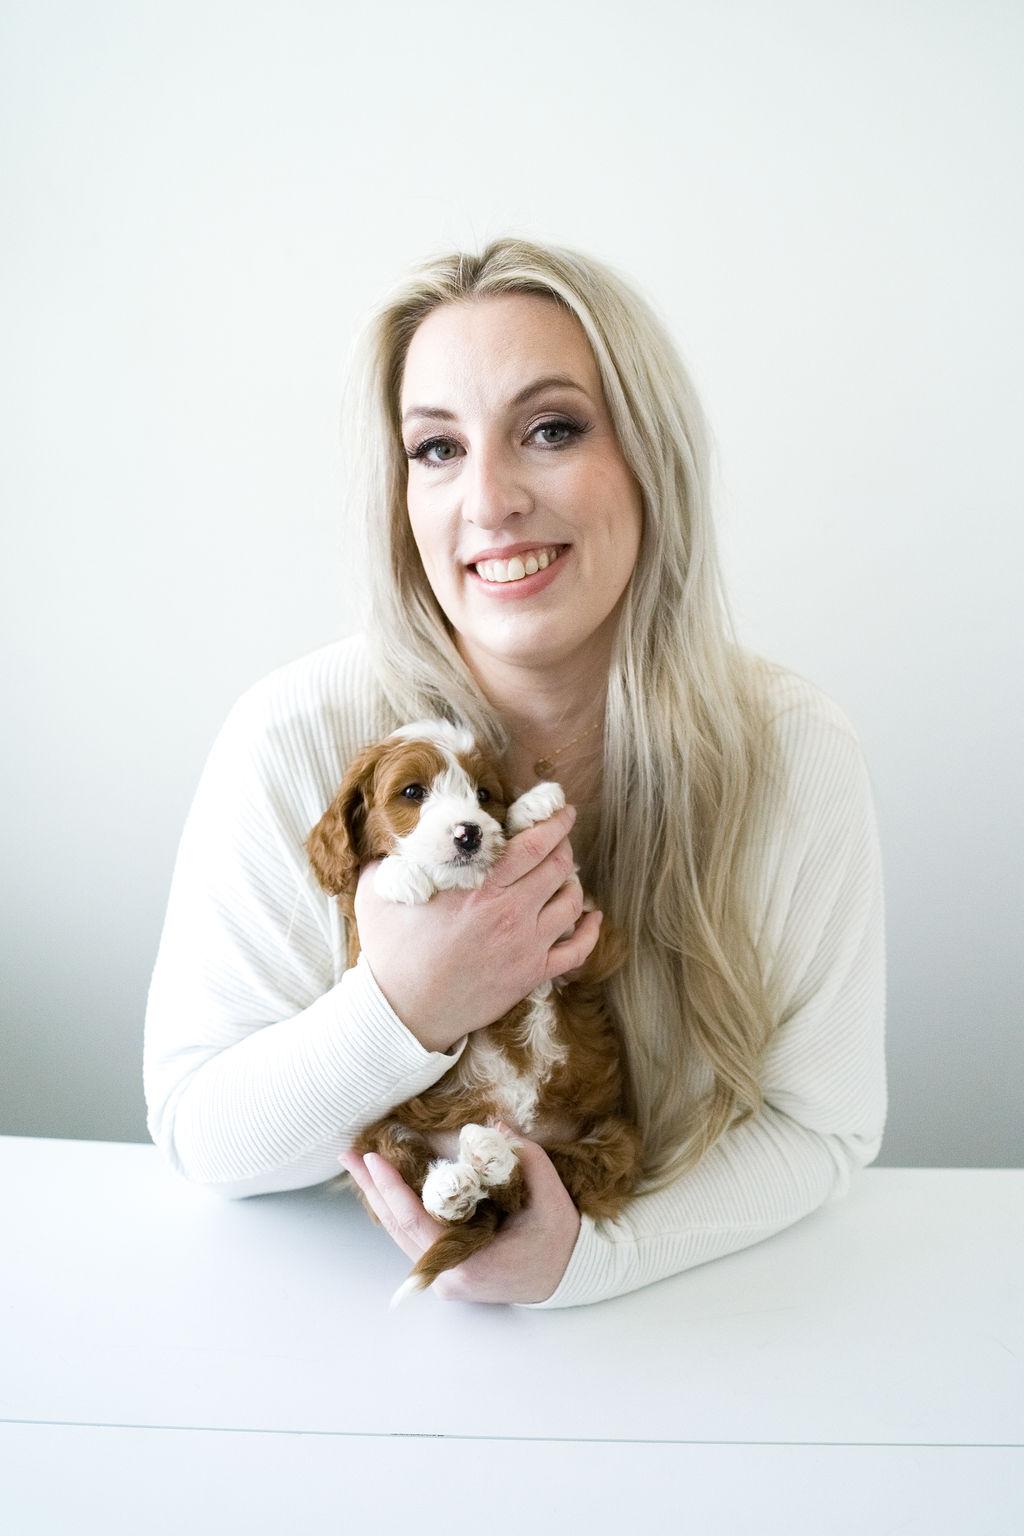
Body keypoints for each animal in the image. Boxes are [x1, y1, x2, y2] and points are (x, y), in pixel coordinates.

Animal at [306, 719, 644, 1307]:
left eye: (484, 795)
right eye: (412, 792)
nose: (469, 833)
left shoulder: (590, 947)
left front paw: (533, 807)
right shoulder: (360, 950)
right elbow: (371, 887)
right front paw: (399, 876)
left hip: (615, 1140)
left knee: (542, 1182)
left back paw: (492, 1158)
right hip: (376, 1137)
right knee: (435, 1180)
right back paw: (454, 1184)